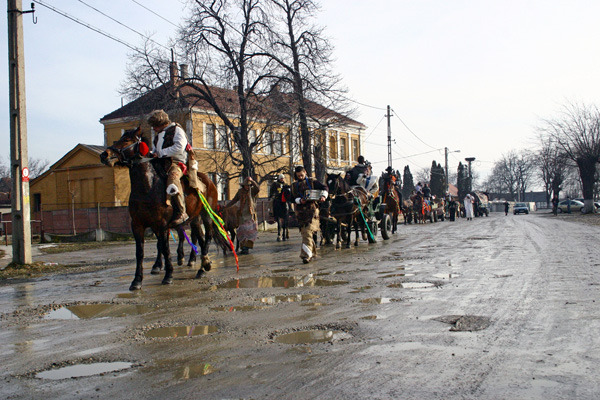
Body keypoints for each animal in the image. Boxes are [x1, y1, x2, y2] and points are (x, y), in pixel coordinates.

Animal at [102, 126, 226, 290]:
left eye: (127, 140)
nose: (104, 154)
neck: (147, 187)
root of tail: (208, 180)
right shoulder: (138, 224)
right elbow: (141, 252)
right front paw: (137, 280)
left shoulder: (162, 224)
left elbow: (165, 248)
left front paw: (168, 275)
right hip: (194, 218)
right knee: (200, 237)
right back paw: (204, 264)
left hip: (206, 214)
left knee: (208, 235)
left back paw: (200, 267)